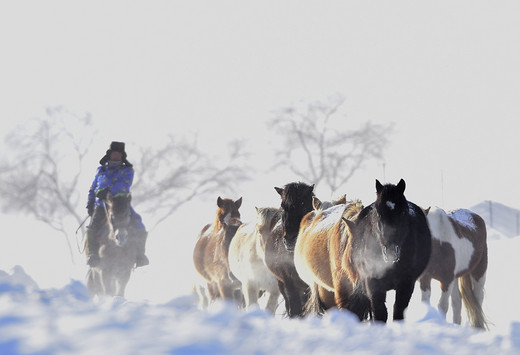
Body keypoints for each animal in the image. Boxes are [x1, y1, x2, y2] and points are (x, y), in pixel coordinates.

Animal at [262, 182, 314, 318]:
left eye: (304, 205)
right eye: (283, 206)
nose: (290, 239)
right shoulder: (289, 282)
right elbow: (295, 309)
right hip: (281, 283)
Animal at [344, 179, 432, 324]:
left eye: (402, 212)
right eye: (379, 213)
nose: (391, 251)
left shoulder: (406, 283)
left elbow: (398, 311)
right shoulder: (372, 283)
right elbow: (380, 312)